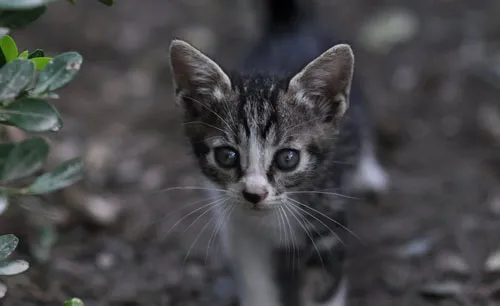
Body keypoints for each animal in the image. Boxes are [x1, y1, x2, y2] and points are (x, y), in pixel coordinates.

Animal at [167, 1, 386, 304]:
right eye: (227, 156)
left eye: (288, 158)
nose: (254, 194)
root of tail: (289, 27)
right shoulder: (241, 231)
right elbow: (254, 279)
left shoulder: (329, 224)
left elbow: (324, 288)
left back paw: (368, 172)